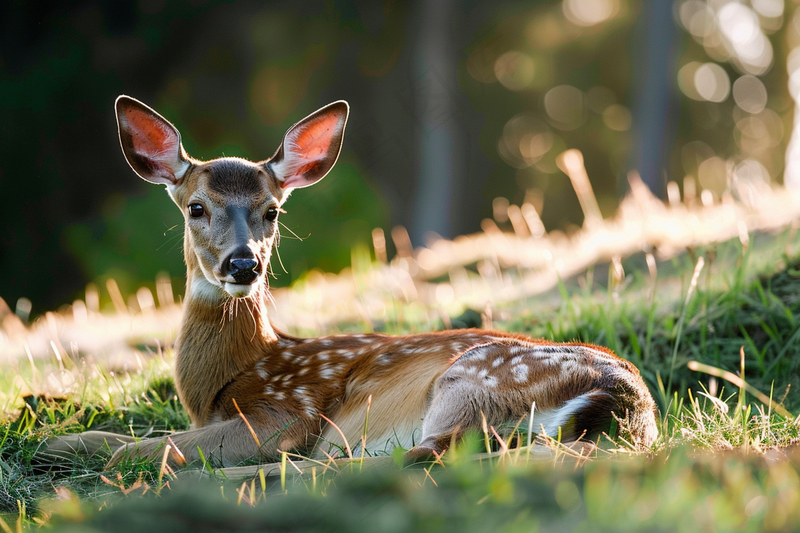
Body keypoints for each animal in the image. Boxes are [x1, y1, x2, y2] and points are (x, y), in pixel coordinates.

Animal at [70, 96, 656, 470]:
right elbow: (108, 436)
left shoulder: (287, 412)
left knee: (415, 455)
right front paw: (66, 444)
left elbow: (138, 449)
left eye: (272, 211)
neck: (235, 376)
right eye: (196, 207)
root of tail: (626, 405)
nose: (243, 265)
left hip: (474, 381)